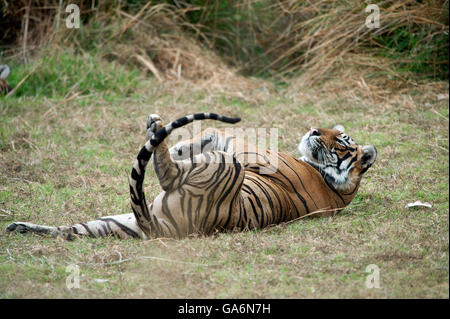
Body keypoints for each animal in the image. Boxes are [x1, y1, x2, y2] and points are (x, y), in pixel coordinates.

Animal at [5, 112, 376, 240]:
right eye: (329, 130)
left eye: (340, 141)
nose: (313, 129)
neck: (340, 192)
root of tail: (158, 227)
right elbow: (211, 134)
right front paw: (185, 146)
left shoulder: (250, 154)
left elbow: (223, 133)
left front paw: (176, 143)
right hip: (115, 222)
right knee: (68, 232)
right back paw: (20, 228)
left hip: (226, 167)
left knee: (169, 175)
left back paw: (158, 133)